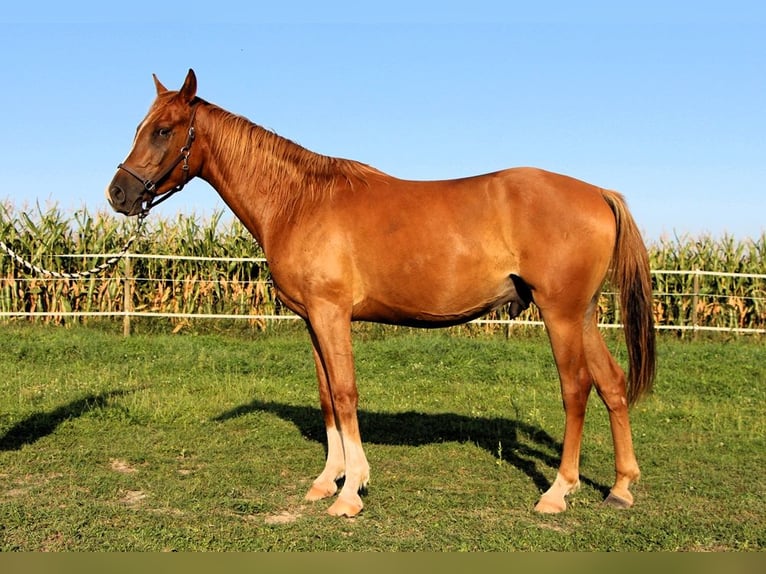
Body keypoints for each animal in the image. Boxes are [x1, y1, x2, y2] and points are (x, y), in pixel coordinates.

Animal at [108, 70, 656, 520]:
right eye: (140, 126)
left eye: (163, 130)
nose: (118, 194)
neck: (299, 200)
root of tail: (598, 192)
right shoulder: (312, 319)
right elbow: (327, 395)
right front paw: (326, 481)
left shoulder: (331, 314)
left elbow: (346, 394)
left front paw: (351, 491)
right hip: (582, 314)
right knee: (611, 384)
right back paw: (621, 487)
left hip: (560, 313)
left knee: (576, 389)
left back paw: (558, 492)